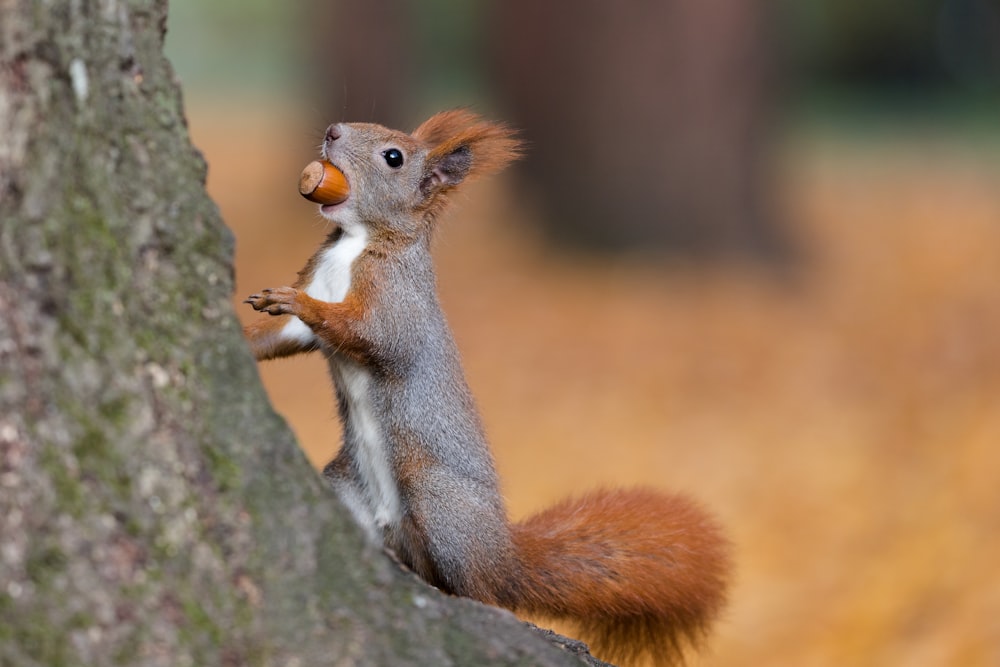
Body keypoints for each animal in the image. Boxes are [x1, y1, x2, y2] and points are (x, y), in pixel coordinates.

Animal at [242, 111, 728, 667]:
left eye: (394, 157)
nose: (333, 131)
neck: (353, 243)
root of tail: (502, 558)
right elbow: (282, 338)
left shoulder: (397, 304)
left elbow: (368, 335)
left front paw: (293, 299)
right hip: (346, 488)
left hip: (437, 500)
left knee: (483, 591)